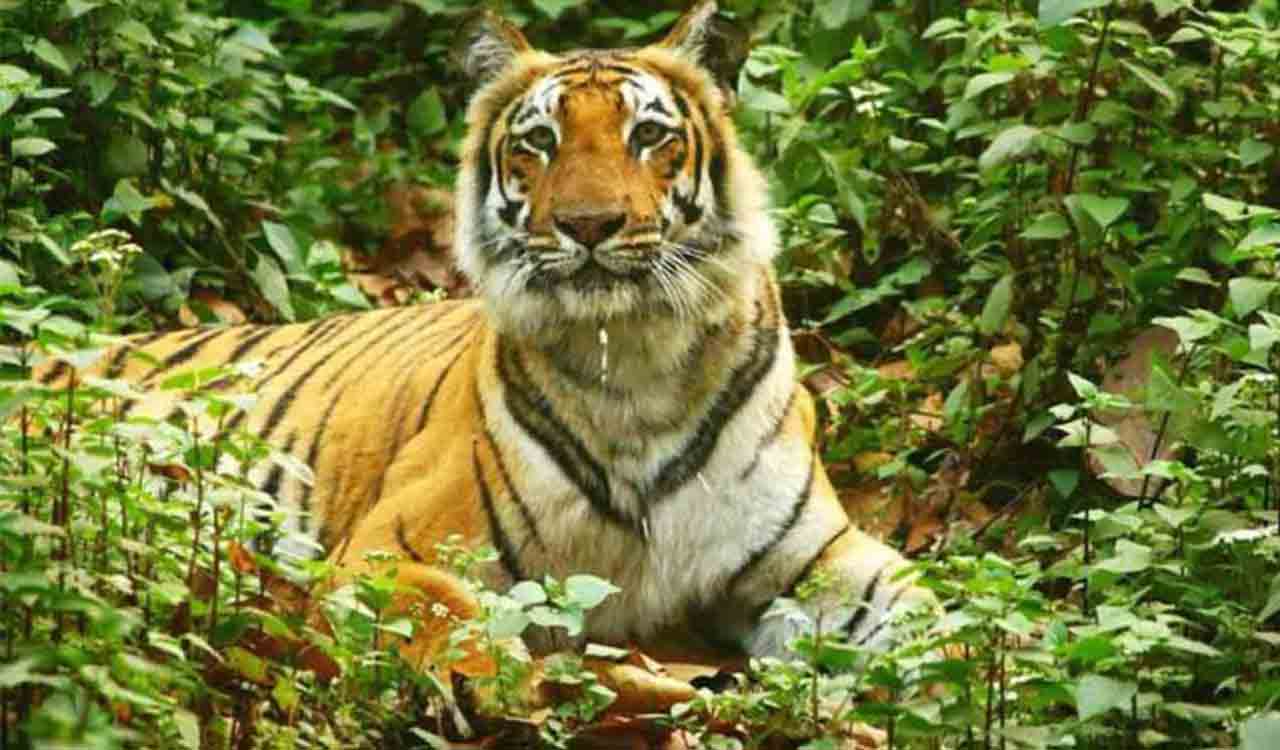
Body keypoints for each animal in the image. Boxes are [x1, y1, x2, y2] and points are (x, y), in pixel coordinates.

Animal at [39, 1, 935, 667]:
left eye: (648, 135)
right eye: (540, 141)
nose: (589, 224)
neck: (635, 360)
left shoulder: (817, 557)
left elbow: (938, 613)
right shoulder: (393, 548)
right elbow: (451, 617)